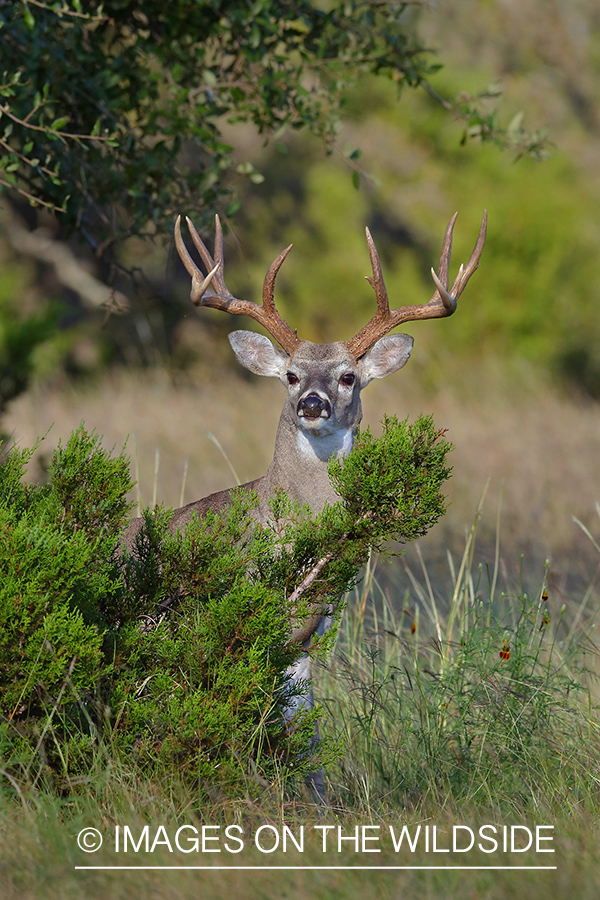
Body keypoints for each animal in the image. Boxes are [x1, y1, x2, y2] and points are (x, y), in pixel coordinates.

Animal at [123, 211, 488, 800]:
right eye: (291, 374)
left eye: (348, 376)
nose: (312, 403)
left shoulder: (306, 634)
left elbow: (304, 727)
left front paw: (315, 797)